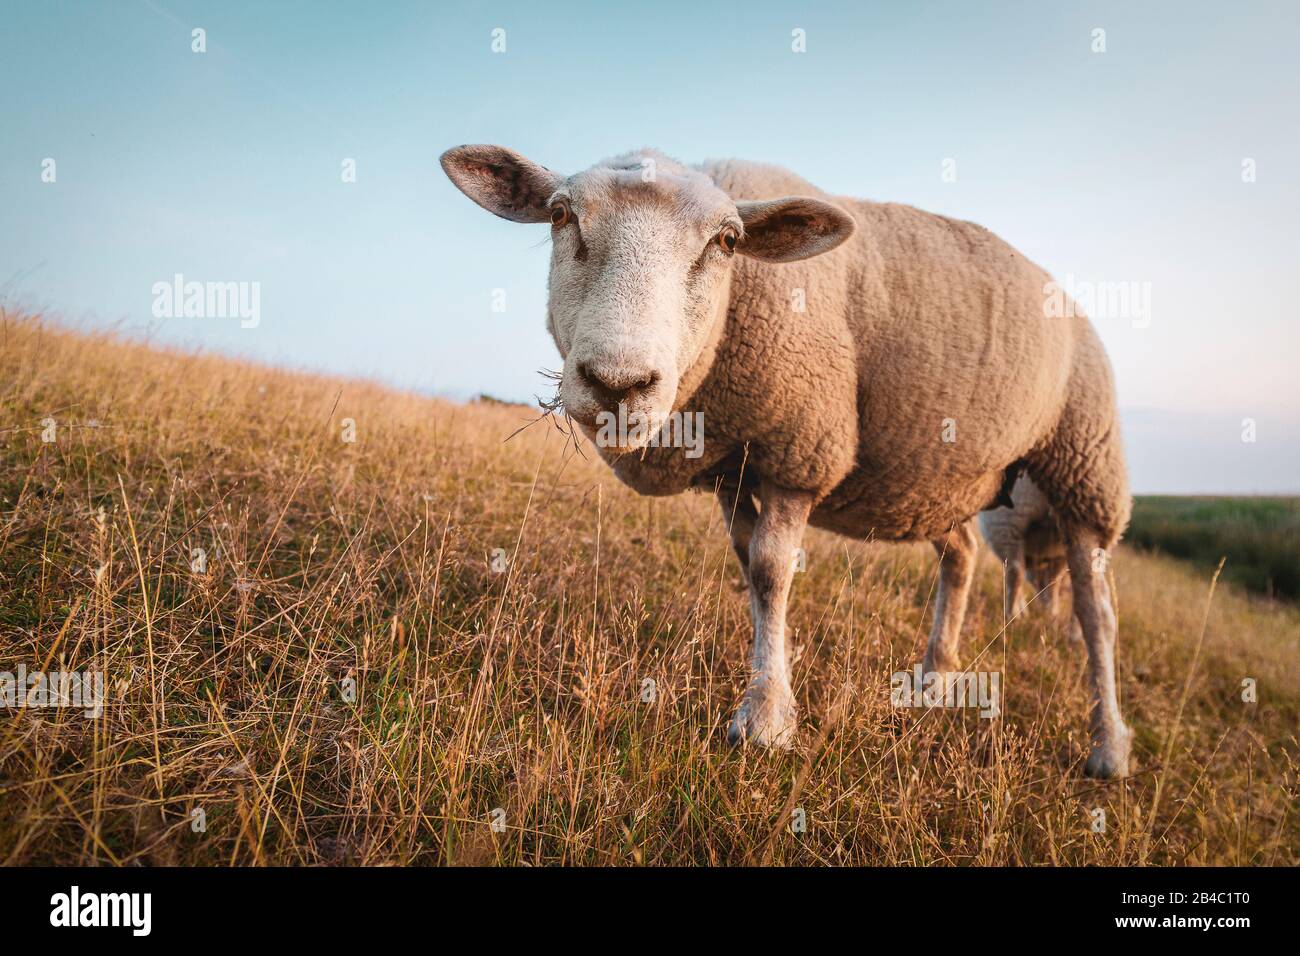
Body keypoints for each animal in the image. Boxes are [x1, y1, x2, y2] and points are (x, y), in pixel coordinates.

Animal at [441, 147, 1133, 780]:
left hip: (1083, 464)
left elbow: (772, 571)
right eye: (561, 215)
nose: (618, 383)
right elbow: (747, 562)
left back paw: (1109, 746)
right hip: (941, 477)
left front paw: (766, 718)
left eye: (726, 241)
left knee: (1096, 612)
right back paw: (935, 679)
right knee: (960, 557)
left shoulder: (799, 449)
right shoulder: (731, 465)